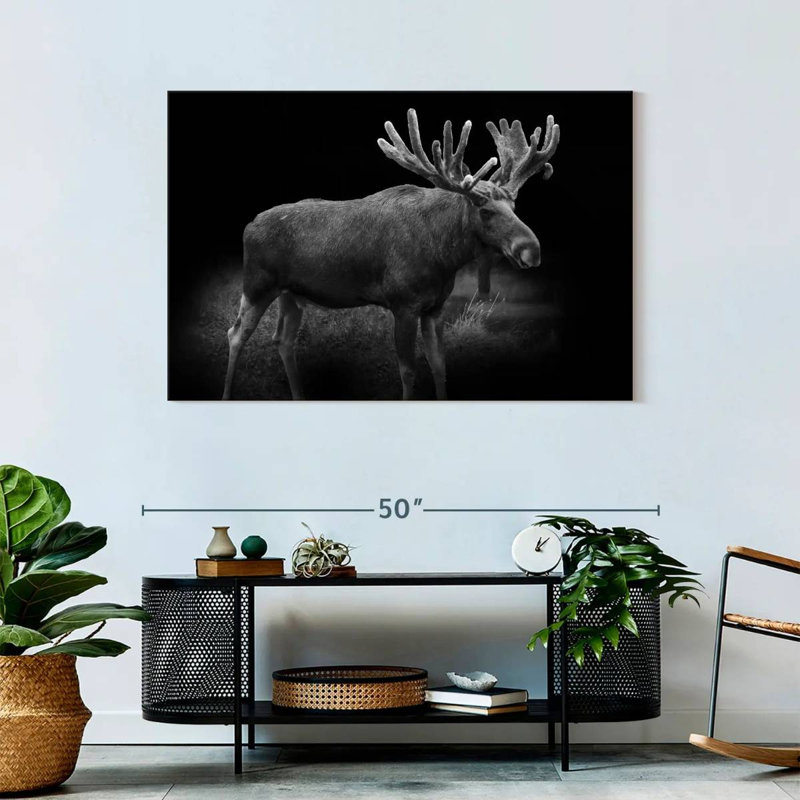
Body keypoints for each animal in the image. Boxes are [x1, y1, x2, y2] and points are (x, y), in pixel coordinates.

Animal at [222, 109, 559, 400]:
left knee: (283, 340)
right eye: (485, 210)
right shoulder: (403, 303)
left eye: (514, 206)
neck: (443, 258)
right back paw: (228, 394)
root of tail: (249, 226)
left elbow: (440, 365)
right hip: (257, 285)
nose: (532, 250)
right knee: (235, 333)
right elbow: (408, 372)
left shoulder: (435, 307)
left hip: (291, 294)